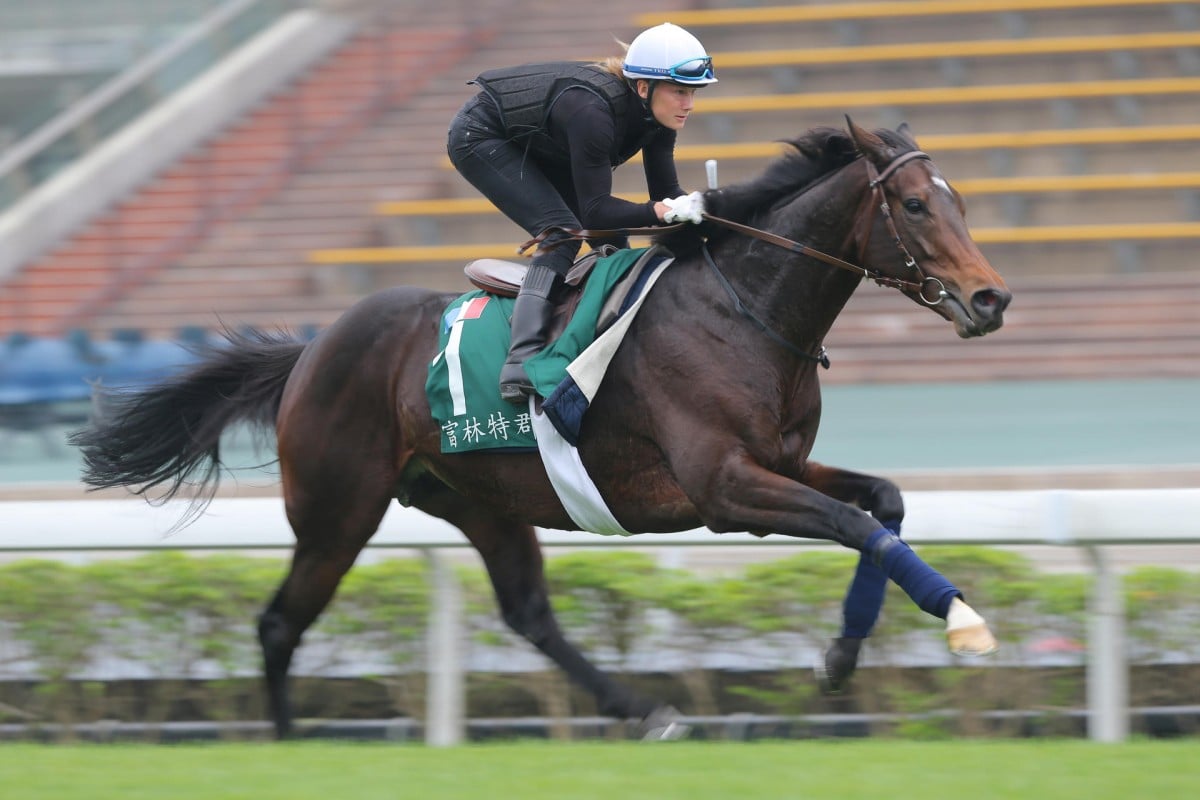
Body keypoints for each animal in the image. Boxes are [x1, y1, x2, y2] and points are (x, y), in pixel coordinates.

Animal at [70, 118, 1012, 738]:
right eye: (917, 206)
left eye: (960, 201)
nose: (992, 298)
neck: (743, 309)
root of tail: (310, 351)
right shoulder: (724, 487)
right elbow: (856, 522)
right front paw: (962, 622)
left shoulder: (779, 464)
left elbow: (881, 505)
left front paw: (843, 656)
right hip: (339, 509)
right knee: (278, 624)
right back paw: (289, 744)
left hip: (480, 499)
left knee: (528, 613)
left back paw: (645, 709)